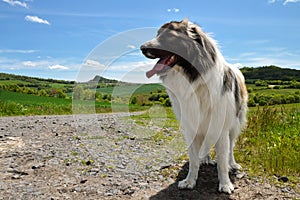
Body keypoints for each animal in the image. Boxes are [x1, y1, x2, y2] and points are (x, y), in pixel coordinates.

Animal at [141, 18, 248, 194]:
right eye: (157, 34)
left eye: (169, 36)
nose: (142, 48)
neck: (194, 78)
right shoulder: (191, 126)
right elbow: (193, 159)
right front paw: (190, 181)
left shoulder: (221, 126)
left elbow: (222, 160)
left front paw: (225, 184)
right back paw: (205, 157)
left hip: (235, 124)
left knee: (231, 147)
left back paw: (232, 164)